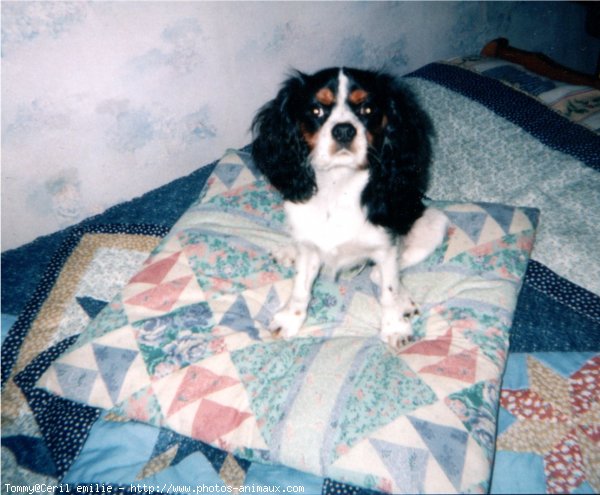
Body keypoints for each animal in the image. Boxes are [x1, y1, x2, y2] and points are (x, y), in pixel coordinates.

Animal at [251, 68, 448, 350]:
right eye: (316, 111)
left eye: (367, 109)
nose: (344, 130)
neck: (338, 184)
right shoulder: (309, 246)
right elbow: (301, 287)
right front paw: (290, 319)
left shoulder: (386, 246)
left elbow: (388, 290)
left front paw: (395, 327)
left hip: (433, 223)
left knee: (382, 273)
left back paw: (403, 299)